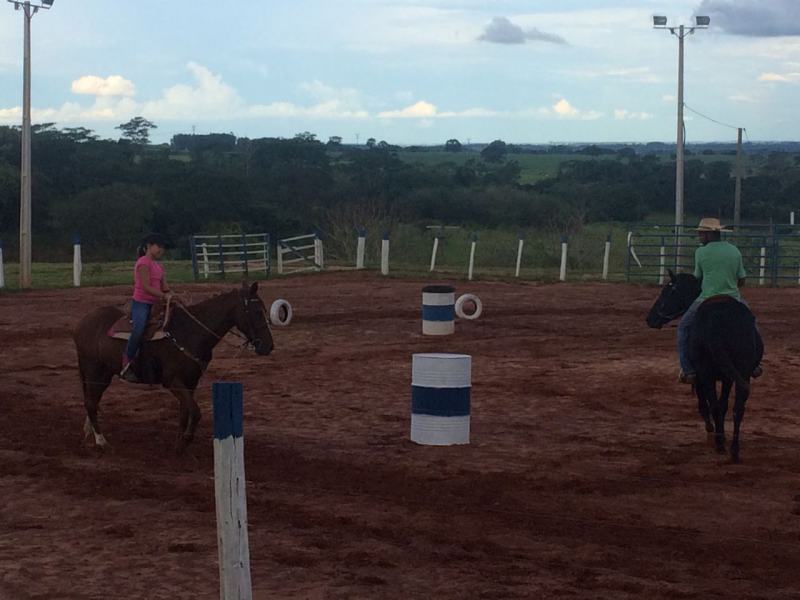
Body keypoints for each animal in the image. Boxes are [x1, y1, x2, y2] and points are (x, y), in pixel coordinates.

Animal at [75, 284, 276, 452]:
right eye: (256, 311)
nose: (268, 346)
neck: (191, 331)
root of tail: (83, 321)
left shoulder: (191, 382)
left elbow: (184, 412)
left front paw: (179, 443)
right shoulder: (172, 381)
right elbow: (195, 411)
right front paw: (186, 440)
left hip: (103, 375)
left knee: (92, 401)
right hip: (94, 371)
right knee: (90, 403)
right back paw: (101, 442)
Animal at [644, 272, 764, 464]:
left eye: (667, 292)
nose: (650, 319)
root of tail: (718, 319)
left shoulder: (700, 376)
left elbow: (704, 404)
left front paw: (710, 430)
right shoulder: (728, 377)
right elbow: (723, 405)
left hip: (707, 373)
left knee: (713, 405)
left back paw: (719, 443)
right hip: (742, 371)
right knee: (737, 407)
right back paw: (734, 450)